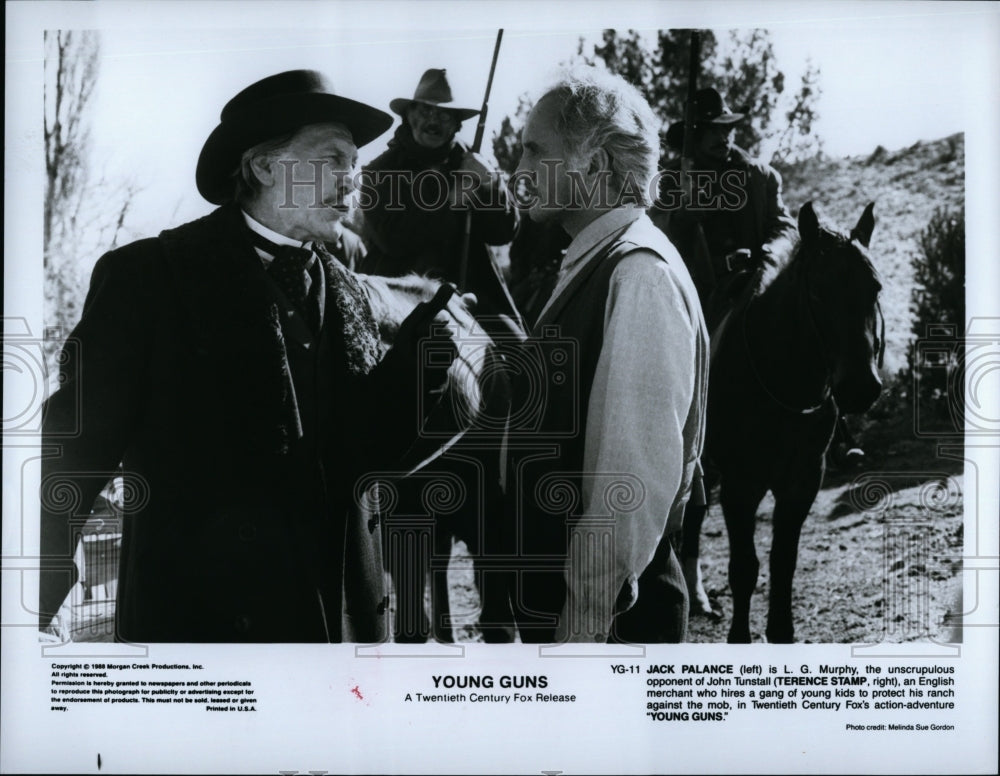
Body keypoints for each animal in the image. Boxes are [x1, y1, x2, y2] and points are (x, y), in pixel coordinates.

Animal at [680, 202, 884, 644]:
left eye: (875, 289)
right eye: (818, 291)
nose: (860, 388)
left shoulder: (802, 480)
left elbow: (782, 563)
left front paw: (781, 632)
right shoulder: (742, 484)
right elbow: (745, 568)